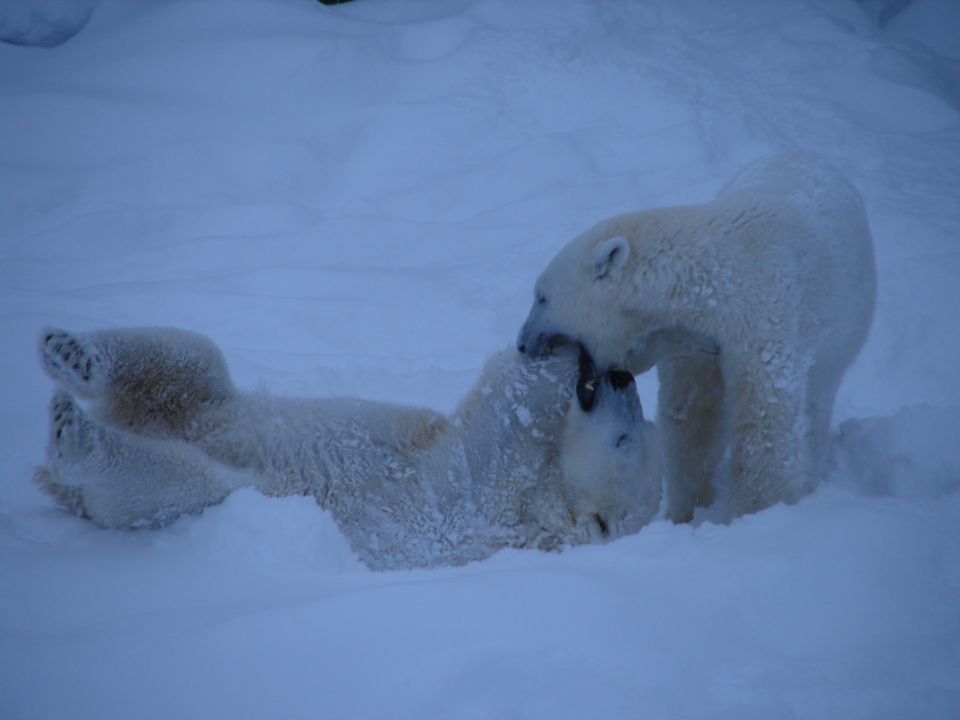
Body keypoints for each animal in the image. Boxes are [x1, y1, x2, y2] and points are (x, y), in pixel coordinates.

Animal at [31, 326, 660, 568]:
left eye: (626, 436)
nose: (621, 379)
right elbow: (514, 394)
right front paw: (573, 345)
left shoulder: (477, 503)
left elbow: (503, 417)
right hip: (211, 409)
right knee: (192, 360)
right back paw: (70, 352)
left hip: (206, 486)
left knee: (173, 480)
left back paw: (74, 433)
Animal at [516, 153, 876, 524]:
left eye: (541, 297)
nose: (522, 343)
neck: (718, 276)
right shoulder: (696, 338)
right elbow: (691, 418)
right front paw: (685, 511)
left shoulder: (764, 318)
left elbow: (763, 422)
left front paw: (755, 511)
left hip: (844, 329)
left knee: (817, 400)